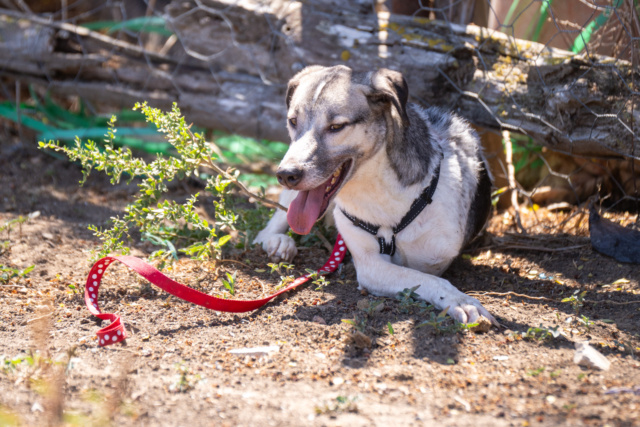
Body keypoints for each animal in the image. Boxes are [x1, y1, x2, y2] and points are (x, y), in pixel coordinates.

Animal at [252, 64, 498, 324]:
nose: (286, 175)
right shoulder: (369, 265)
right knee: (268, 228)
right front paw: (460, 301)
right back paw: (278, 242)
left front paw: (461, 300)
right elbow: (433, 281)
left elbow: (431, 277)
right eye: (293, 121)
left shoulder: (433, 257)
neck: (378, 189)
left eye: (336, 127)